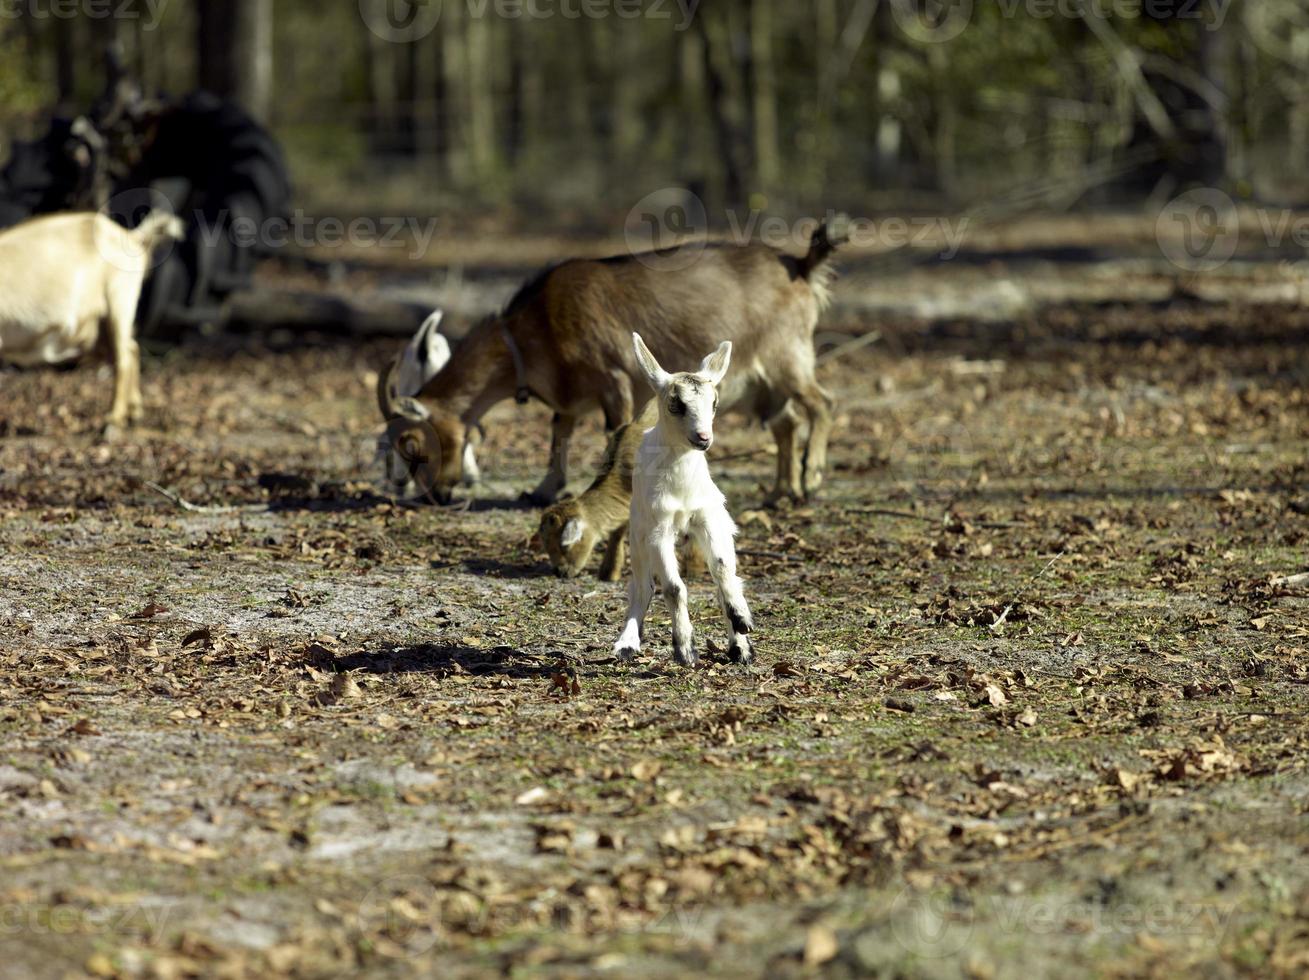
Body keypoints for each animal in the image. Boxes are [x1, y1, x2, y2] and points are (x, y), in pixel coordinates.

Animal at [0, 210, 184, 437]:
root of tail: (133, 237)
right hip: (96, 328)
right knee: (131, 348)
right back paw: (134, 412)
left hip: (119, 298)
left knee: (123, 358)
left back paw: (113, 421)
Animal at [379, 219, 848, 505]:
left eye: (413, 446)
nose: (434, 496)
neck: (533, 330)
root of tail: (800, 267)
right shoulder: (568, 397)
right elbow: (558, 435)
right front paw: (544, 490)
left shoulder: (615, 380)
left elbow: (614, 434)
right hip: (762, 386)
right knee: (787, 423)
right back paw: (780, 491)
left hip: (788, 359)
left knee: (823, 403)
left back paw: (813, 476)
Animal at [615, 331, 759, 664]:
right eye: (676, 403)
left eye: (714, 403)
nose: (704, 438)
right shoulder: (658, 530)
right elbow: (673, 588)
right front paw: (685, 650)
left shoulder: (710, 518)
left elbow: (722, 569)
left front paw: (742, 623)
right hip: (638, 534)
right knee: (642, 586)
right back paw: (626, 644)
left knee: (727, 576)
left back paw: (741, 646)